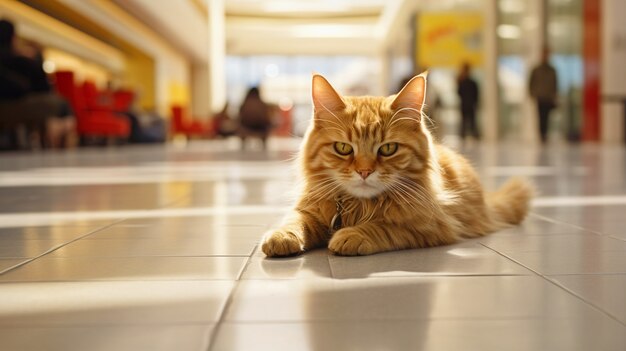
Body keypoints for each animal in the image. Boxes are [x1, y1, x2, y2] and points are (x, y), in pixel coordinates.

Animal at [260, 73, 528, 258]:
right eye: (343, 148)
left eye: (388, 149)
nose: (364, 171)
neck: (358, 205)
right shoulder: (308, 210)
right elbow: (294, 221)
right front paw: (281, 236)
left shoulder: (428, 226)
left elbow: (382, 226)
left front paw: (350, 235)